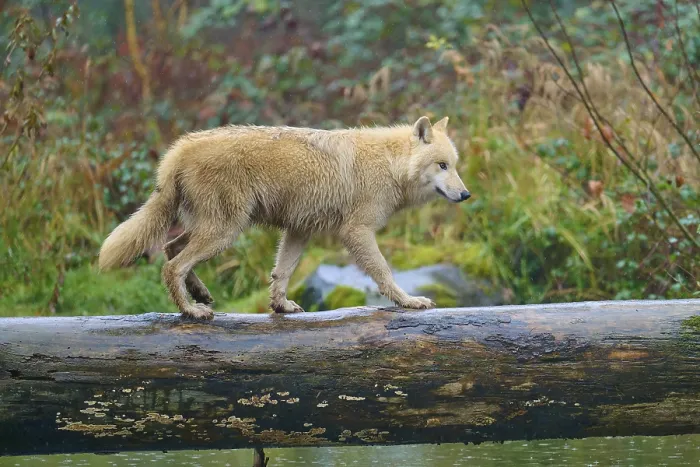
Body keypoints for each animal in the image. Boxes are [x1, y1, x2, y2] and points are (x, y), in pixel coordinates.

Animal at [98, 116, 471, 320]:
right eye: (442, 166)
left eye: (454, 165)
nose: (466, 195)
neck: (390, 164)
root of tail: (179, 149)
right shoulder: (357, 232)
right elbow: (385, 273)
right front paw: (408, 301)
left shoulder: (299, 230)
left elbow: (282, 273)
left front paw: (280, 306)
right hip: (226, 231)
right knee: (172, 266)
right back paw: (191, 310)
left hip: (216, 228)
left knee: (171, 248)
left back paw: (199, 294)